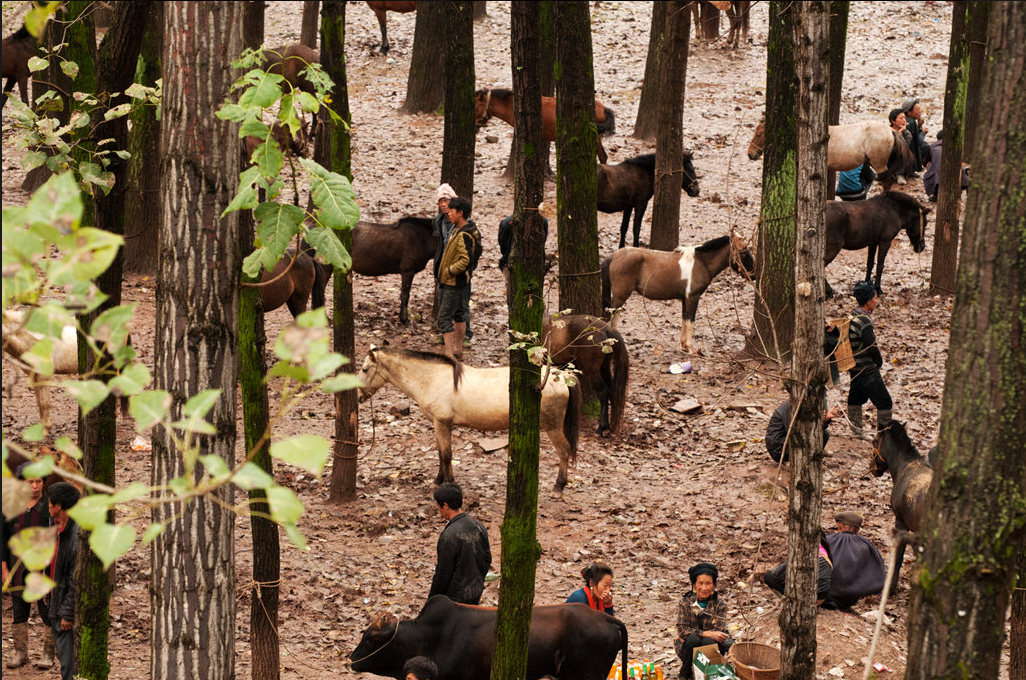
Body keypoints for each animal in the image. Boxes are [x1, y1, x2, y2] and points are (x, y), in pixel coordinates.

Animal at [356, 347, 582, 492]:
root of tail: (561, 375)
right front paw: (438, 480)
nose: (358, 396)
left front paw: (450, 483)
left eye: (365, 369)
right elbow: (441, 454)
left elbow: (447, 455)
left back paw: (559, 486)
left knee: (564, 451)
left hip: (553, 427)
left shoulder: (442, 423)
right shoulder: (439, 425)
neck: (433, 379)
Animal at [601, 234, 755, 354]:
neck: (701, 262)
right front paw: (690, 348)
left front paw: (683, 347)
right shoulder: (693, 297)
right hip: (620, 296)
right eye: (745, 253)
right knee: (612, 316)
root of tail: (613, 256)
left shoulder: (685, 299)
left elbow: (684, 319)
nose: (753, 275)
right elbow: (691, 320)